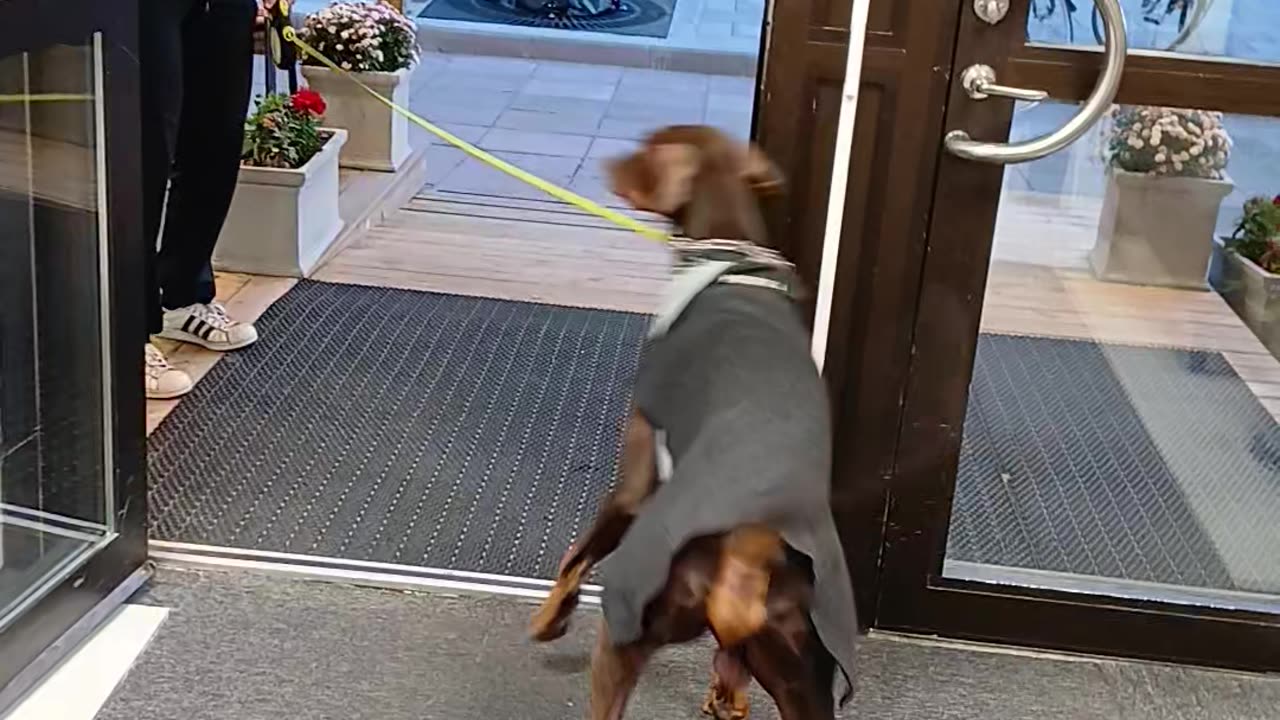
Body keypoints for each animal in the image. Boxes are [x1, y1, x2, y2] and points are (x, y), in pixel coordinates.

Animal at [524, 126, 855, 717]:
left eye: (645, 146)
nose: (610, 162)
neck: (728, 255)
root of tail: (748, 556)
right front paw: (726, 689)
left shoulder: (635, 477)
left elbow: (577, 554)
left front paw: (547, 618)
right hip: (806, 677)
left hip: (629, 623)